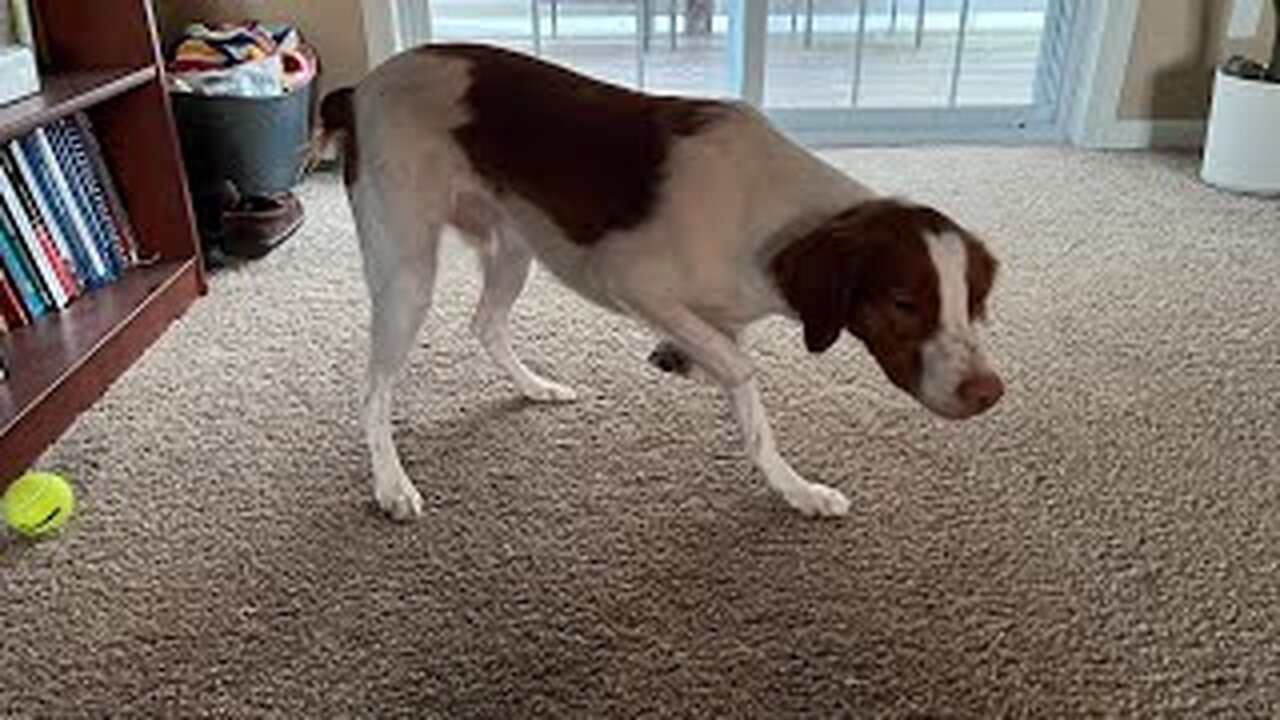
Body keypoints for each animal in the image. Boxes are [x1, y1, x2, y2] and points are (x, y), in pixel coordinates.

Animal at [317, 43, 998, 515]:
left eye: (971, 303)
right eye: (905, 302)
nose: (988, 393)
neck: (771, 215)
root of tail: (362, 86)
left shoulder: (717, 316)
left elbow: (744, 400)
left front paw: (793, 489)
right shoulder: (632, 279)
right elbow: (743, 370)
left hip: (512, 246)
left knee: (485, 324)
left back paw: (535, 387)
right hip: (407, 272)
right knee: (374, 390)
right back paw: (391, 483)